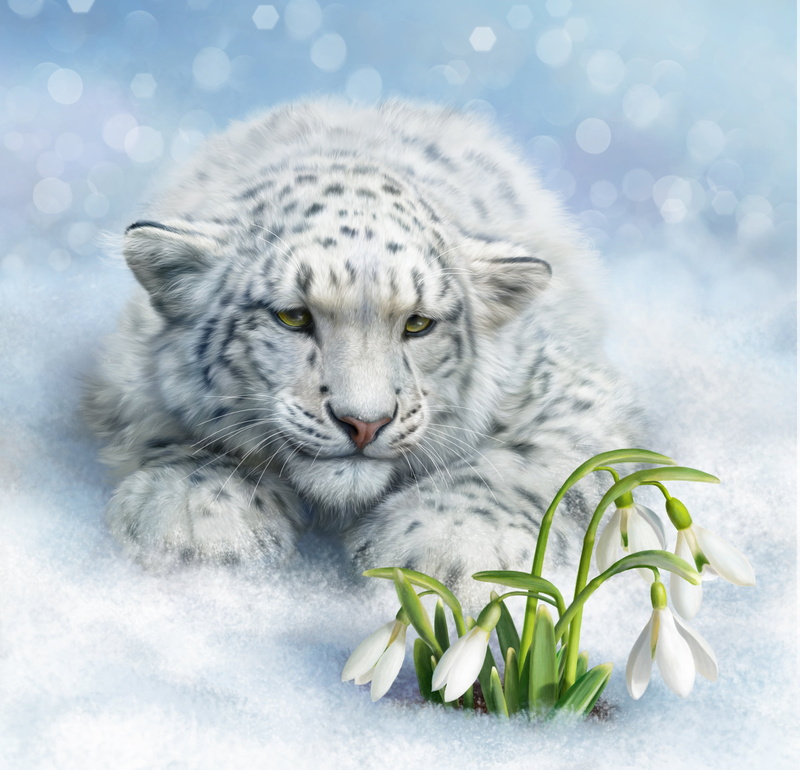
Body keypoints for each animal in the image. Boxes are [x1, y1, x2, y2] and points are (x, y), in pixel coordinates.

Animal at [84, 98, 641, 592]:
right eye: (294, 317)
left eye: (417, 324)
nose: (364, 423)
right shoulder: (123, 371)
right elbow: (173, 429)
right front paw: (199, 515)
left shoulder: (571, 393)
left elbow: (529, 461)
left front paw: (448, 543)